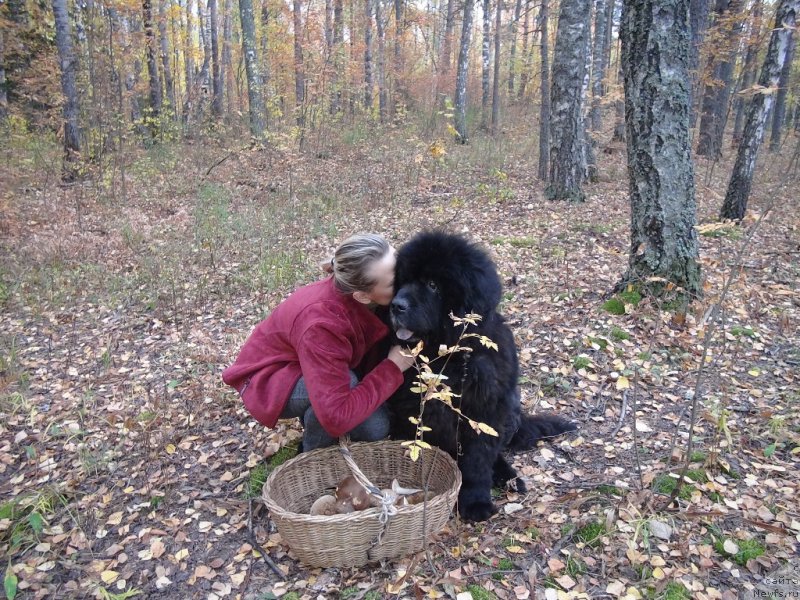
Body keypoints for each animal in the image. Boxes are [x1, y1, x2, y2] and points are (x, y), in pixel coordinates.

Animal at [388, 230, 576, 520]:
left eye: (432, 285)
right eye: (404, 280)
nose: (396, 305)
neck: (450, 360)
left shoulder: (484, 411)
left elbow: (478, 460)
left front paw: (475, 502)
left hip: (508, 410)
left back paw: (509, 477)